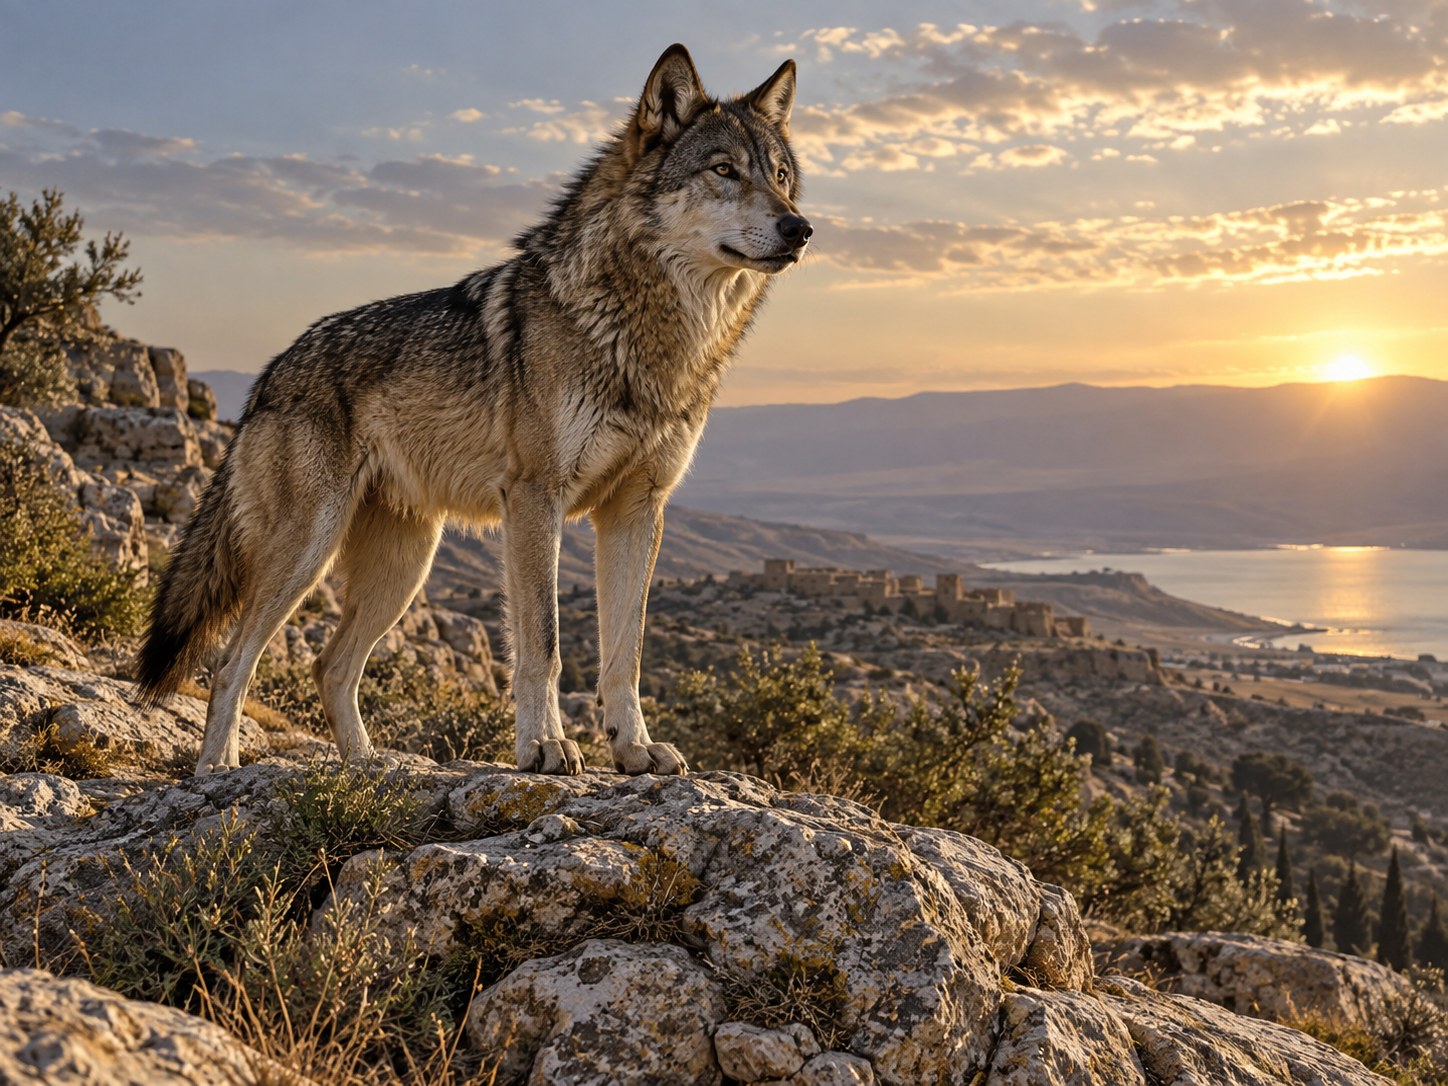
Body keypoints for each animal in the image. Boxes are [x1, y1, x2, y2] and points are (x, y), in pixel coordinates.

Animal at [134, 44, 810, 778]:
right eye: (724, 170)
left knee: (330, 666)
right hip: (308, 550)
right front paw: (544, 746)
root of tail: (268, 375)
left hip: (405, 568)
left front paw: (633, 748)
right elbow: (544, 646)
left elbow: (624, 656)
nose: (800, 228)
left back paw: (368, 767)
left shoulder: (636, 509)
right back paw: (216, 768)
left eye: (780, 177)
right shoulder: (535, 498)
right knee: (232, 659)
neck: (651, 335)